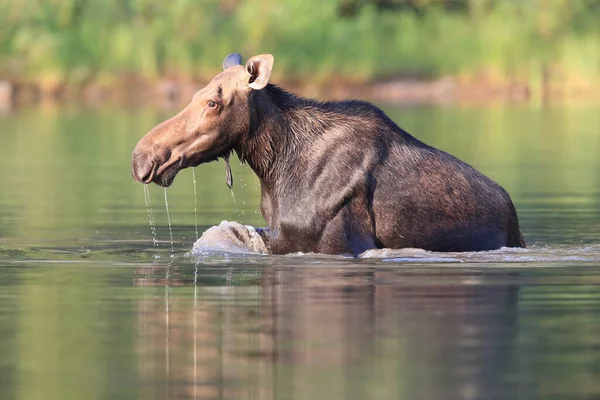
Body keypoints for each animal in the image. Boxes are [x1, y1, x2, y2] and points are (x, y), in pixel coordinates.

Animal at [131, 53, 524, 256]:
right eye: (195, 94)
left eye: (213, 102)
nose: (141, 157)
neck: (273, 165)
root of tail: (513, 213)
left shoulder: (338, 242)